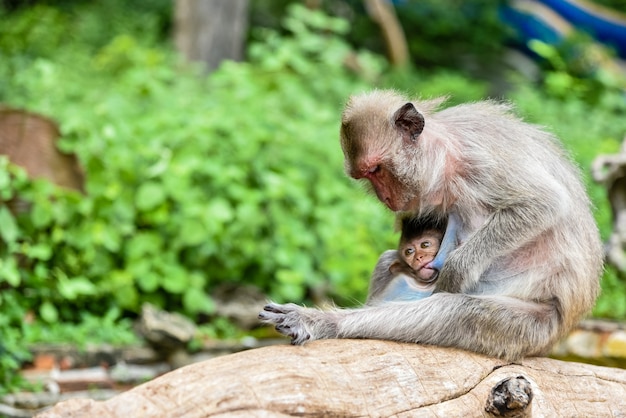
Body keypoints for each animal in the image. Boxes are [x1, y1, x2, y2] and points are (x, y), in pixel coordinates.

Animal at [258, 90, 600, 360]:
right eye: (365, 176)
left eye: (377, 170)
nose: (384, 197)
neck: (447, 155)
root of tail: (563, 329)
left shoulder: (480, 160)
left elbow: (543, 203)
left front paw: (458, 268)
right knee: (390, 261)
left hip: (532, 327)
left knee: (459, 314)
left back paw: (328, 323)